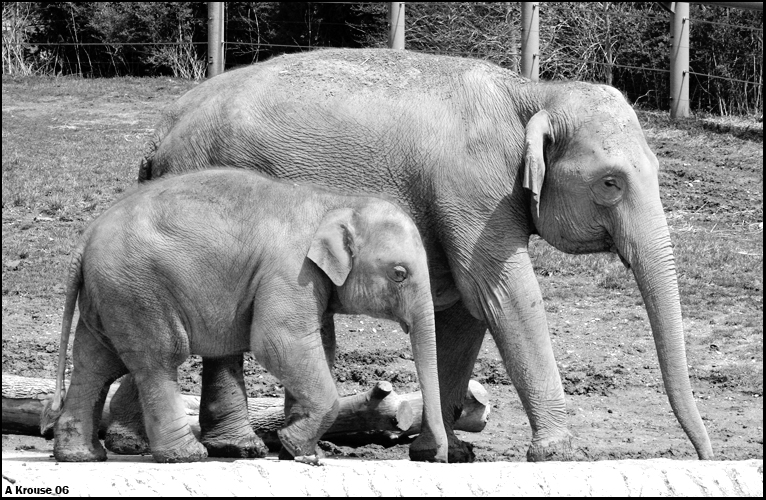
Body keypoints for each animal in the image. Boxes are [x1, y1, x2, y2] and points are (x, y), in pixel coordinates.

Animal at [42, 168, 450, 464]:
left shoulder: (310, 282)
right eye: (399, 273)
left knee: (94, 363)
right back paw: (186, 456)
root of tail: (86, 235)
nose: (431, 456)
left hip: (109, 294)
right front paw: (296, 447)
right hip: (138, 291)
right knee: (158, 359)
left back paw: (81, 456)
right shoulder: (290, 271)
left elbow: (319, 345)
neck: (335, 202)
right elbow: (279, 342)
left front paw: (297, 451)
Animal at [135, 47, 716, 460]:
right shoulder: (474, 190)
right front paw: (562, 453)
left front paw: (445, 452)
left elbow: (466, 310)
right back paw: (243, 446)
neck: (533, 94)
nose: (704, 455)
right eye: (611, 183)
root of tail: (159, 136)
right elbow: (502, 295)